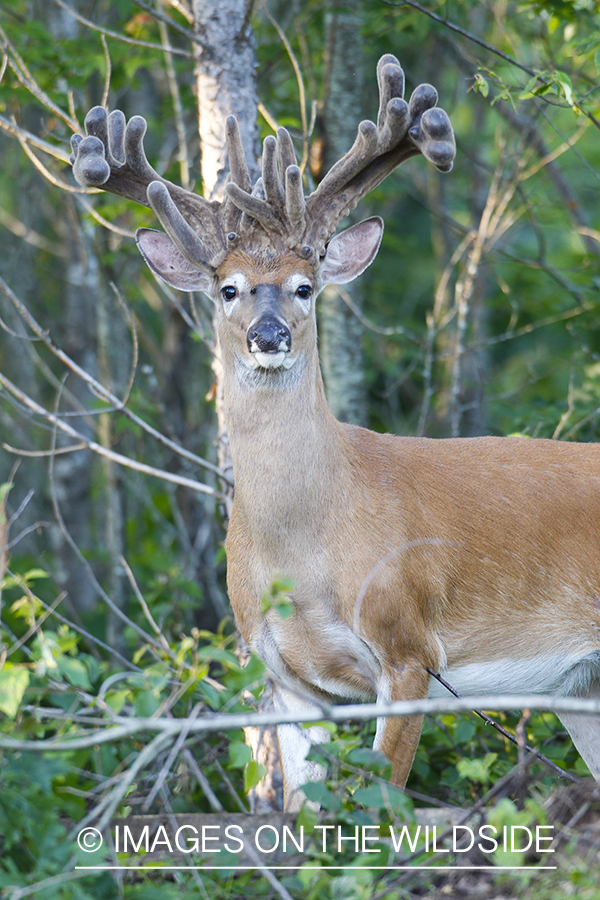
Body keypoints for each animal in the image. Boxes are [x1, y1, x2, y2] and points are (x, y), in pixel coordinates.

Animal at [71, 54, 600, 808]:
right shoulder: (285, 675)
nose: (269, 336)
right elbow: (303, 812)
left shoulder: (407, 649)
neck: (306, 546)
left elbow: (380, 805)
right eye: (228, 288)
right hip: (580, 687)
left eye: (305, 285)